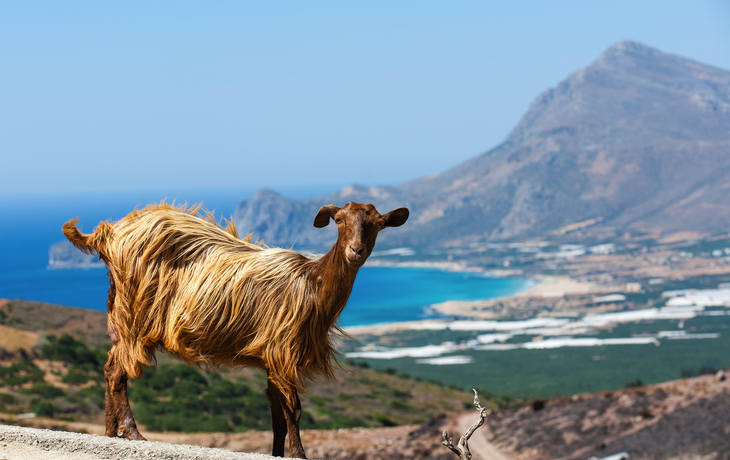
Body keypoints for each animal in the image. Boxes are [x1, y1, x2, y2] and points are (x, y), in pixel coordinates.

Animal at [62, 201, 409, 458]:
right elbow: (293, 410)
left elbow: (277, 413)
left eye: (378, 224)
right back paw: (132, 432)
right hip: (136, 316)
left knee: (110, 368)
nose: (355, 251)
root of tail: (110, 234)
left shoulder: (270, 357)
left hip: (120, 314)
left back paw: (110, 433)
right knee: (119, 371)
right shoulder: (282, 352)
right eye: (338, 220)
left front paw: (277, 454)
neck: (313, 283)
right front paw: (300, 454)